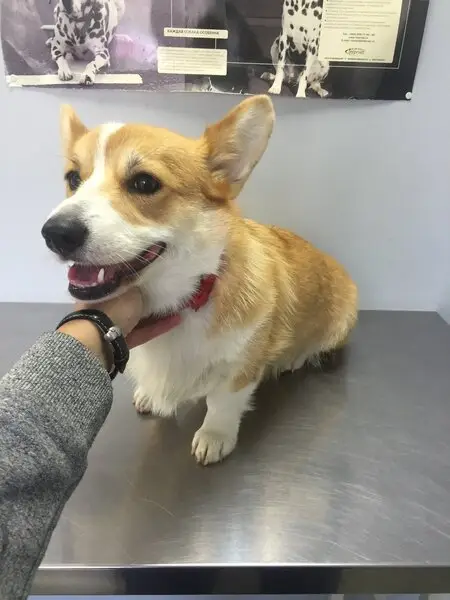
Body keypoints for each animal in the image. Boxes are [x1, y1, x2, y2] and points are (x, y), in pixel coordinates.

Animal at [41, 96, 357, 465]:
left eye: (144, 183)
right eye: (73, 177)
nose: (55, 233)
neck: (182, 299)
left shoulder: (241, 367)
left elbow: (224, 402)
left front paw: (214, 436)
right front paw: (149, 394)